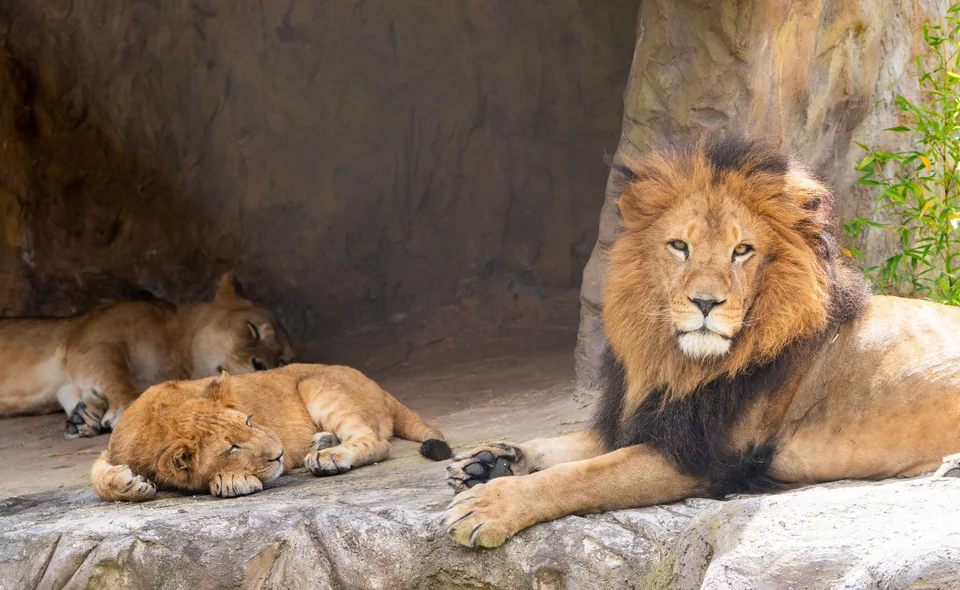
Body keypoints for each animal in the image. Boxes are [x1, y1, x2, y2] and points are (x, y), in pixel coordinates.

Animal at [0, 272, 294, 439]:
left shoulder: (69, 379)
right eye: (253, 330)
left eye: (281, 362)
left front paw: (82, 418)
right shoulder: (92, 344)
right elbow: (116, 376)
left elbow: (77, 392)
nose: (261, 366)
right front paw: (126, 409)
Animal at [91, 364, 453, 501]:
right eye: (231, 448)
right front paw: (130, 485)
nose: (279, 454)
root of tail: (379, 387)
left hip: (316, 384)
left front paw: (230, 480)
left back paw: (328, 456)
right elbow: (97, 476)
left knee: (377, 443)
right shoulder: (111, 450)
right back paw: (318, 444)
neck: (162, 421)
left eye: (250, 422)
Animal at [443, 136, 960, 548]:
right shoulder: (647, 417)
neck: (676, 363)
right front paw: (487, 461)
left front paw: (489, 505)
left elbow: (583, 474)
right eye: (679, 246)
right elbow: (569, 445)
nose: (705, 303)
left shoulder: (704, 459)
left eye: (741, 250)